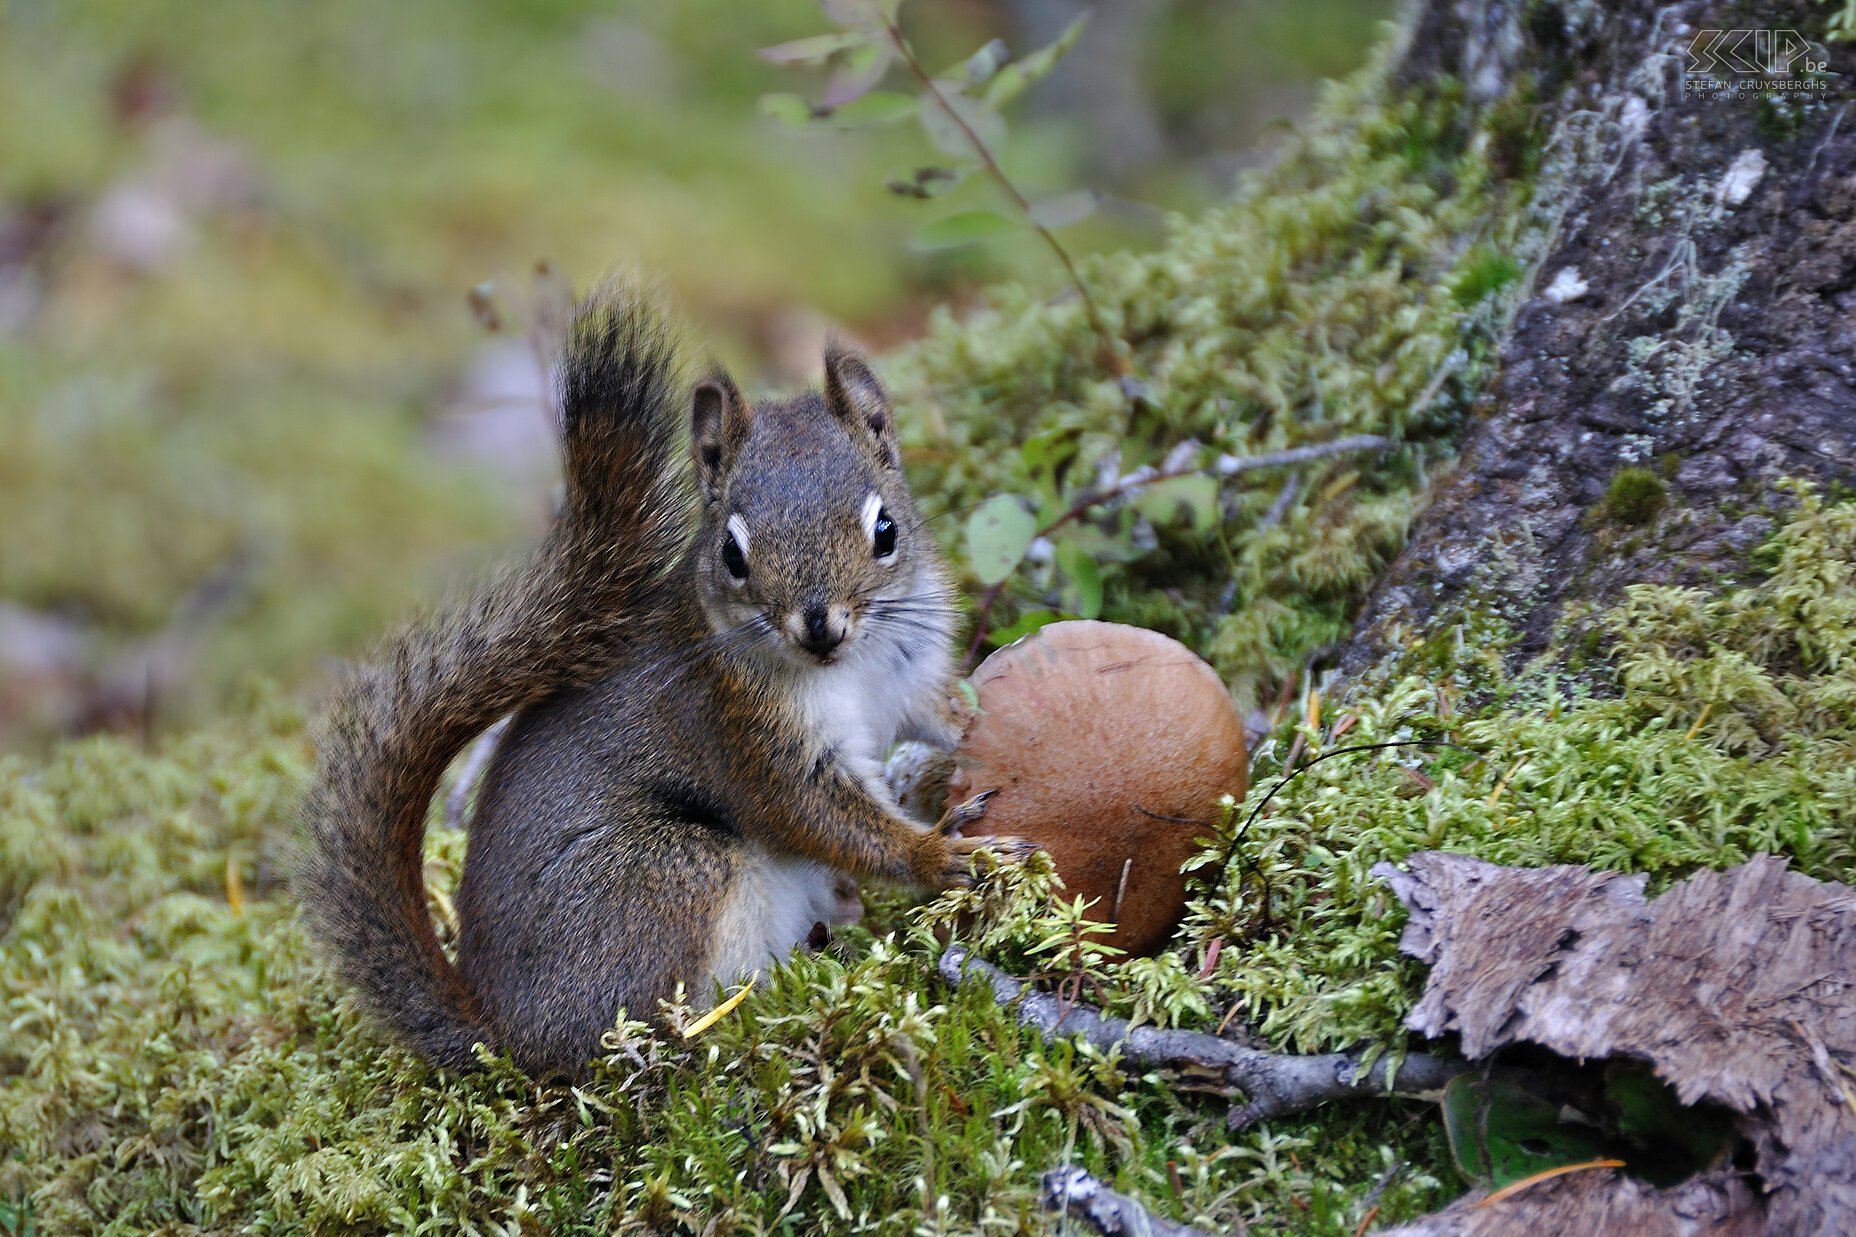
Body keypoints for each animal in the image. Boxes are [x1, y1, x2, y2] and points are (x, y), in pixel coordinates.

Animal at [298, 286, 1024, 1069]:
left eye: (886, 529)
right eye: (733, 553)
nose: (818, 624)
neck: (847, 666)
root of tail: (505, 1034)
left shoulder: (907, 672)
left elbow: (937, 713)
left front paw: (982, 722)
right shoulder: (741, 726)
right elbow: (815, 812)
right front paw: (941, 853)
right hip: (669, 874)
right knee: (644, 1031)